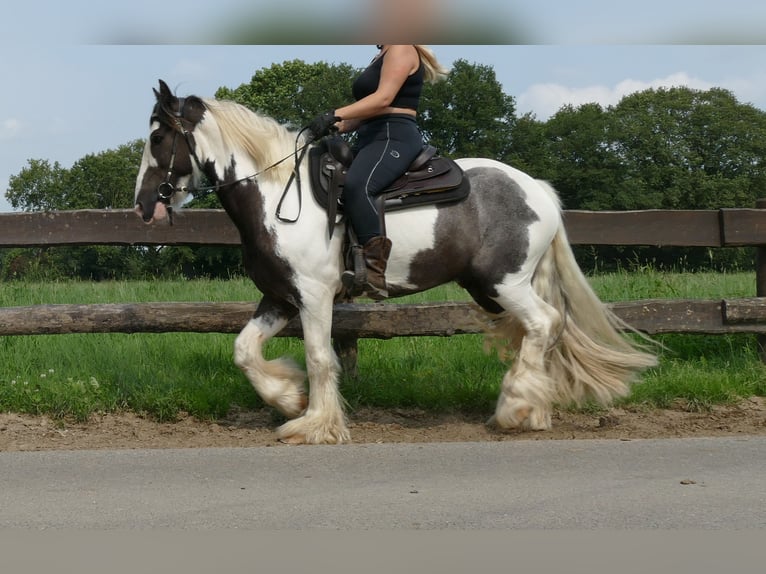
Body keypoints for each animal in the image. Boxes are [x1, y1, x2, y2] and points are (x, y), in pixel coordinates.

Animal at [135, 81, 656, 448]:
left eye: (158, 136)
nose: (143, 204)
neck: (278, 193)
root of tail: (537, 189)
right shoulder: (280, 296)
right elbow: (244, 351)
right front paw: (290, 399)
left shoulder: (315, 296)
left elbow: (320, 358)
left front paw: (315, 426)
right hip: (492, 288)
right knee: (540, 330)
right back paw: (534, 410)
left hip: (504, 284)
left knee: (545, 323)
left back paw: (516, 408)